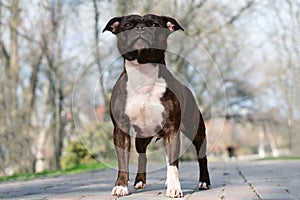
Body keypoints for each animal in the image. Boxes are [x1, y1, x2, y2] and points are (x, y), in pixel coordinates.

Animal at [103, 14, 211, 198]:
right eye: (128, 25)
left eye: (154, 24)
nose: (140, 28)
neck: (143, 73)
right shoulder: (121, 129)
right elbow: (123, 161)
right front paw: (121, 186)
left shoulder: (171, 129)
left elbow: (173, 163)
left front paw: (174, 188)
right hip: (142, 136)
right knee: (142, 155)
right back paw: (140, 181)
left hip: (196, 131)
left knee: (201, 156)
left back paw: (204, 182)